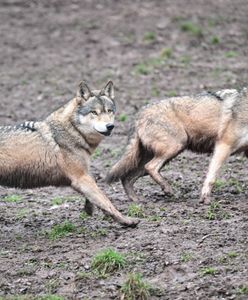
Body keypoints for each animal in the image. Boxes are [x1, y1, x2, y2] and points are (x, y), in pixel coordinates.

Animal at [0, 81, 138, 226]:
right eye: (94, 113)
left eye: (109, 111)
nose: (110, 126)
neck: (72, 131)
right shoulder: (80, 177)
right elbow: (106, 201)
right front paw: (127, 220)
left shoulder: (83, 176)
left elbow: (96, 194)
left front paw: (89, 208)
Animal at [106, 86, 248, 204]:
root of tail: (140, 113)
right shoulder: (223, 145)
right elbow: (211, 177)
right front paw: (205, 199)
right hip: (175, 147)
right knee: (150, 167)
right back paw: (169, 190)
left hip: (161, 157)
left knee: (128, 178)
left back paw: (137, 200)